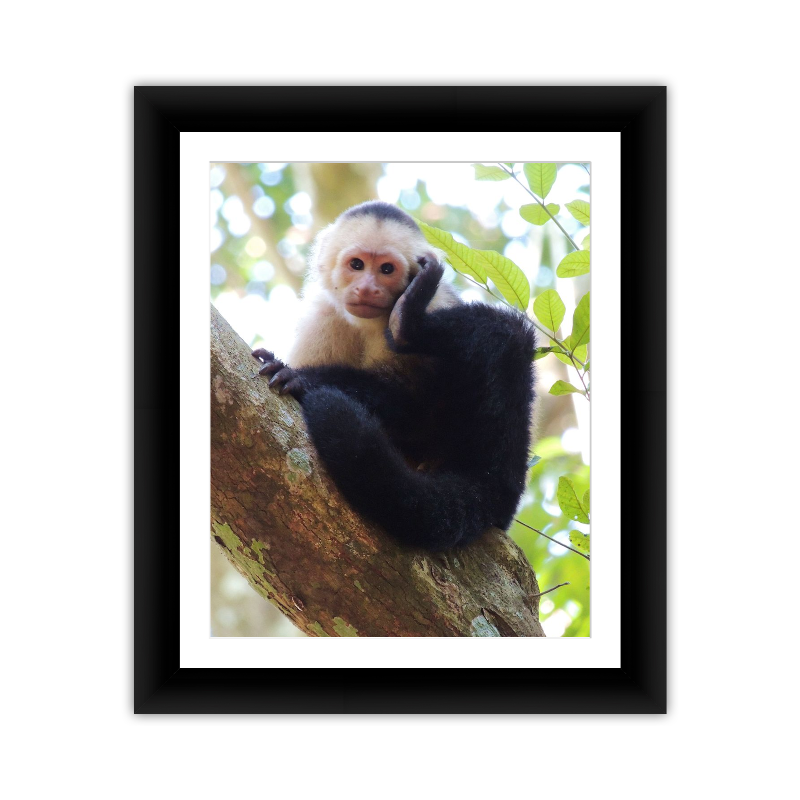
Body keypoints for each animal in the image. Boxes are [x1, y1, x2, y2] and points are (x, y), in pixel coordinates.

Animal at [253, 201, 537, 550]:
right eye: (357, 265)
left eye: (387, 270)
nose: (367, 287)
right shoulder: (322, 317)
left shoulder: (438, 302)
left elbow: (415, 409)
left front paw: (304, 379)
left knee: (507, 333)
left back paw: (408, 325)